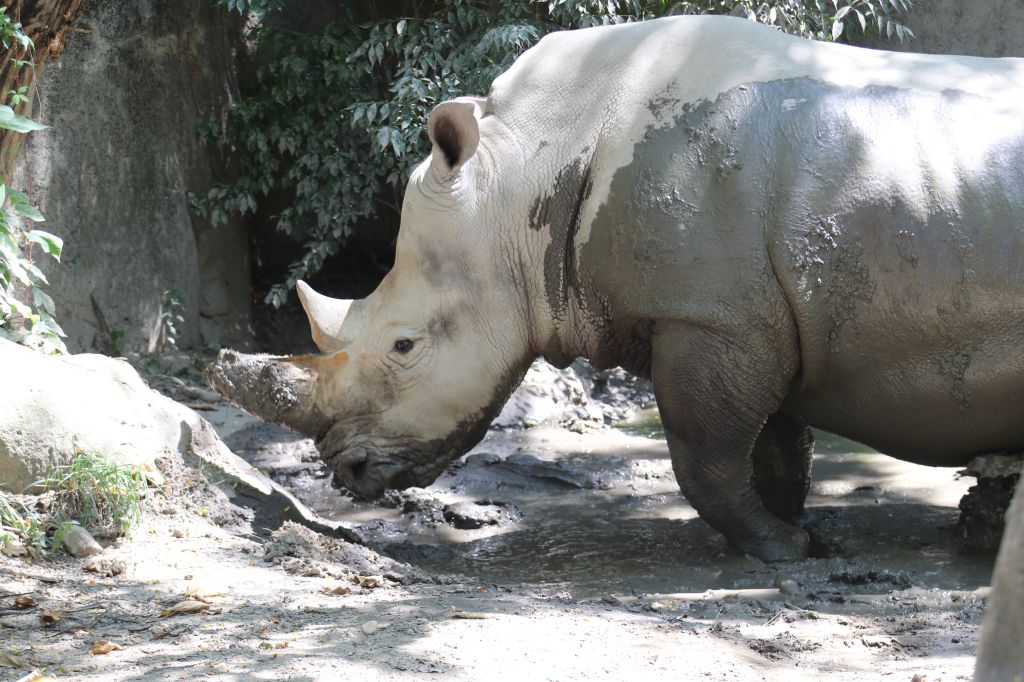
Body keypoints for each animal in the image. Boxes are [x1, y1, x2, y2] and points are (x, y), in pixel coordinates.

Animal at [210, 15, 1024, 562]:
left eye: (405, 345)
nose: (344, 473)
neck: (522, 173)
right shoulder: (750, 314)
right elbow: (775, 445)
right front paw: (798, 533)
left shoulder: (709, 317)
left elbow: (706, 455)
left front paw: (782, 552)